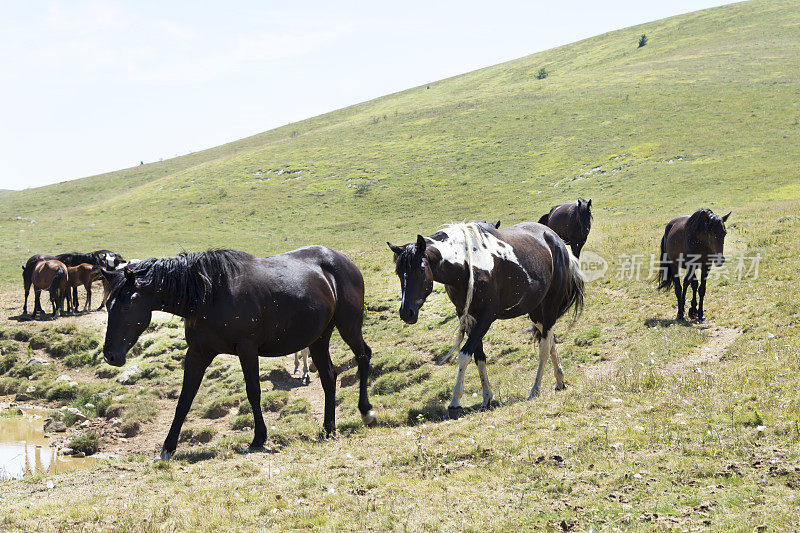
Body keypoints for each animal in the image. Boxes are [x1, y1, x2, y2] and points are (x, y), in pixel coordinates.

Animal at [390, 220, 584, 416]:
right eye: (399, 272)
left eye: (421, 269)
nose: (406, 312)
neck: (467, 266)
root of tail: (557, 240)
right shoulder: (467, 316)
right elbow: (479, 356)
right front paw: (486, 397)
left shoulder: (487, 316)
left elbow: (464, 355)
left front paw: (455, 403)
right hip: (536, 311)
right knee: (550, 339)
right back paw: (560, 381)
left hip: (550, 305)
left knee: (544, 346)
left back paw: (535, 390)